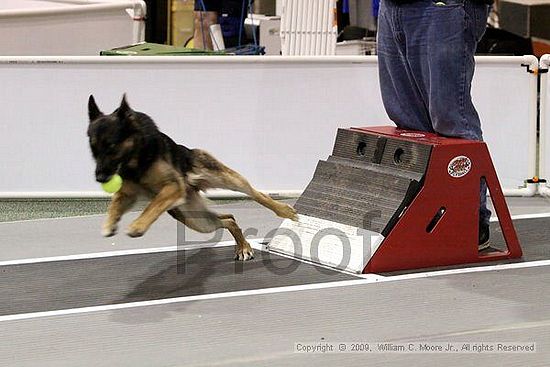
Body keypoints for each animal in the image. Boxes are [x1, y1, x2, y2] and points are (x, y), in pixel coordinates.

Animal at [88, 96, 300, 260]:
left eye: (112, 146)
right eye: (93, 148)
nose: (100, 178)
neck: (136, 160)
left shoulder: (173, 187)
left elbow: (152, 206)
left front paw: (137, 225)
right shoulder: (127, 194)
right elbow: (115, 205)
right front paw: (110, 224)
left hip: (225, 179)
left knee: (256, 194)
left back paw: (283, 211)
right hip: (196, 220)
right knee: (228, 218)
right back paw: (243, 246)